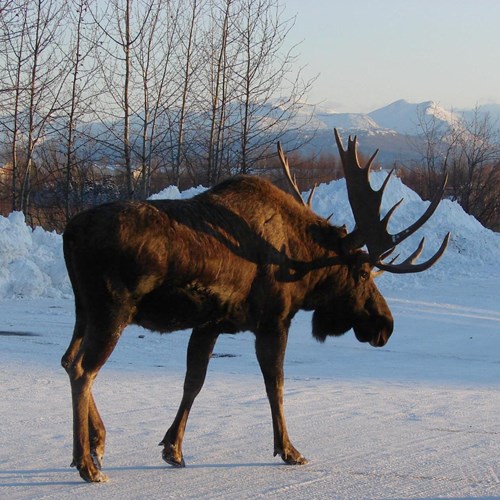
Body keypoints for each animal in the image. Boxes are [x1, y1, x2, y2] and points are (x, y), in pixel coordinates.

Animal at [61, 129, 450, 480]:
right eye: (364, 273)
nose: (386, 325)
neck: (304, 265)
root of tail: (70, 232)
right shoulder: (274, 320)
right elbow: (275, 384)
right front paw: (289, 449)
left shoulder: (209, 324)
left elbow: (193, 381)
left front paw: (174, 448)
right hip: (114, 309)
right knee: (84, 369)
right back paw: (85, 463)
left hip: (84, 310)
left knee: (68, 360)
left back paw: (97, 443)